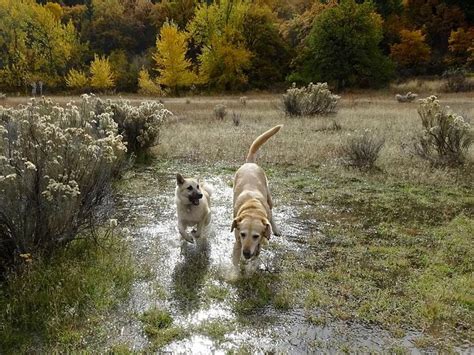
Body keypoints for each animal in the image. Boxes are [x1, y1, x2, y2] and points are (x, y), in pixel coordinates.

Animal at [232, 124, 284, 264]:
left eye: (255, 236)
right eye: (243, 234)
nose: (246, 253)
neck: (252, 207)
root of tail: (250, 162)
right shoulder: (238, 240)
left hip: (270, 199)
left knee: (271, 213)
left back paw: (276, 229)